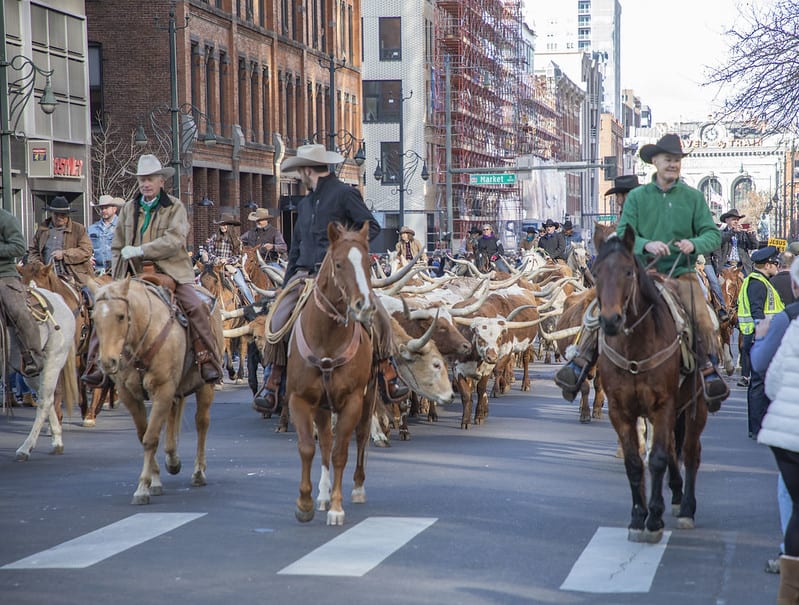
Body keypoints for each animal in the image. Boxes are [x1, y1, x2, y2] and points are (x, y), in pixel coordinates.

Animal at [5, 286, 79, 460]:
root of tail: (58, 297)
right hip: (32, 371)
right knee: (47, 397)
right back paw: (56, 440)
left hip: (54, 360)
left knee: (45, 401)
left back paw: (26, 448)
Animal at [89, 276, 223, 502]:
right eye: (94, 318)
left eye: (121, 316)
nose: (107, 362)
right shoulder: (129, 395)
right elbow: (143, 434)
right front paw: (155, 480)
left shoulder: (163, 389)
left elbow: (150, 439)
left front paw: (143, 487)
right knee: (172, 414)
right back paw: (172, 459)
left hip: (205, 386)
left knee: (201, 423)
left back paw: (198, 472)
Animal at [284, 222, 378, 524]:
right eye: (338, 264)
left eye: (368, 264)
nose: (364, 306)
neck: (326, 337)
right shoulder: (300, 399)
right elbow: (308, 448)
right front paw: (305, 503)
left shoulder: (352, 401)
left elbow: (340, 453)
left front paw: (337, 508)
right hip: (322, 406)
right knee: (324, 441)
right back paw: (323, 495)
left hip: (369, 396)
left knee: (360, 437)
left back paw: (357, 487)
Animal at [592, 225, 712, 544]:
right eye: (596, 273)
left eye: (628, 272)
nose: (610, 320)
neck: (635, 346)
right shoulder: (620, 411)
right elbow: (635, 463)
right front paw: (637, 517)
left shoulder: (664, 405)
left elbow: (657, 459)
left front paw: (654, 519)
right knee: (672, 449)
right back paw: (677, 494)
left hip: (696, 406)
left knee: (691, 452)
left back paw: (687, 508)